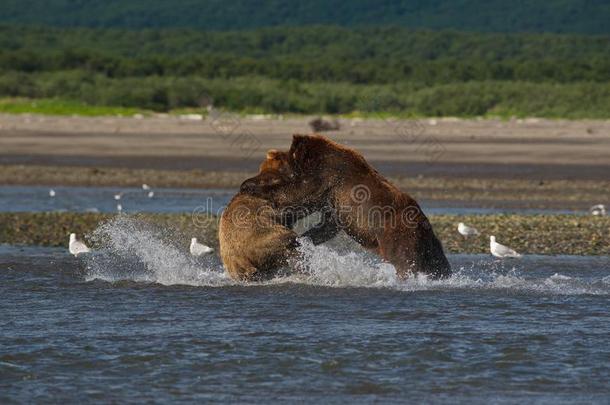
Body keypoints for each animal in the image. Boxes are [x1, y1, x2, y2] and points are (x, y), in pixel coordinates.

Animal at [240, 134, 448, 280]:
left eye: (266, 174)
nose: (249, 181)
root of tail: (423, 223)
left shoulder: (326, 177)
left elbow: (299, 195)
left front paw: (251, 188)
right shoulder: (333, 202)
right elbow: (326, 225)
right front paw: (302, 239)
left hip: (397, 235)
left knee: (404, 262)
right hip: (429, 246)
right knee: (439, 263)